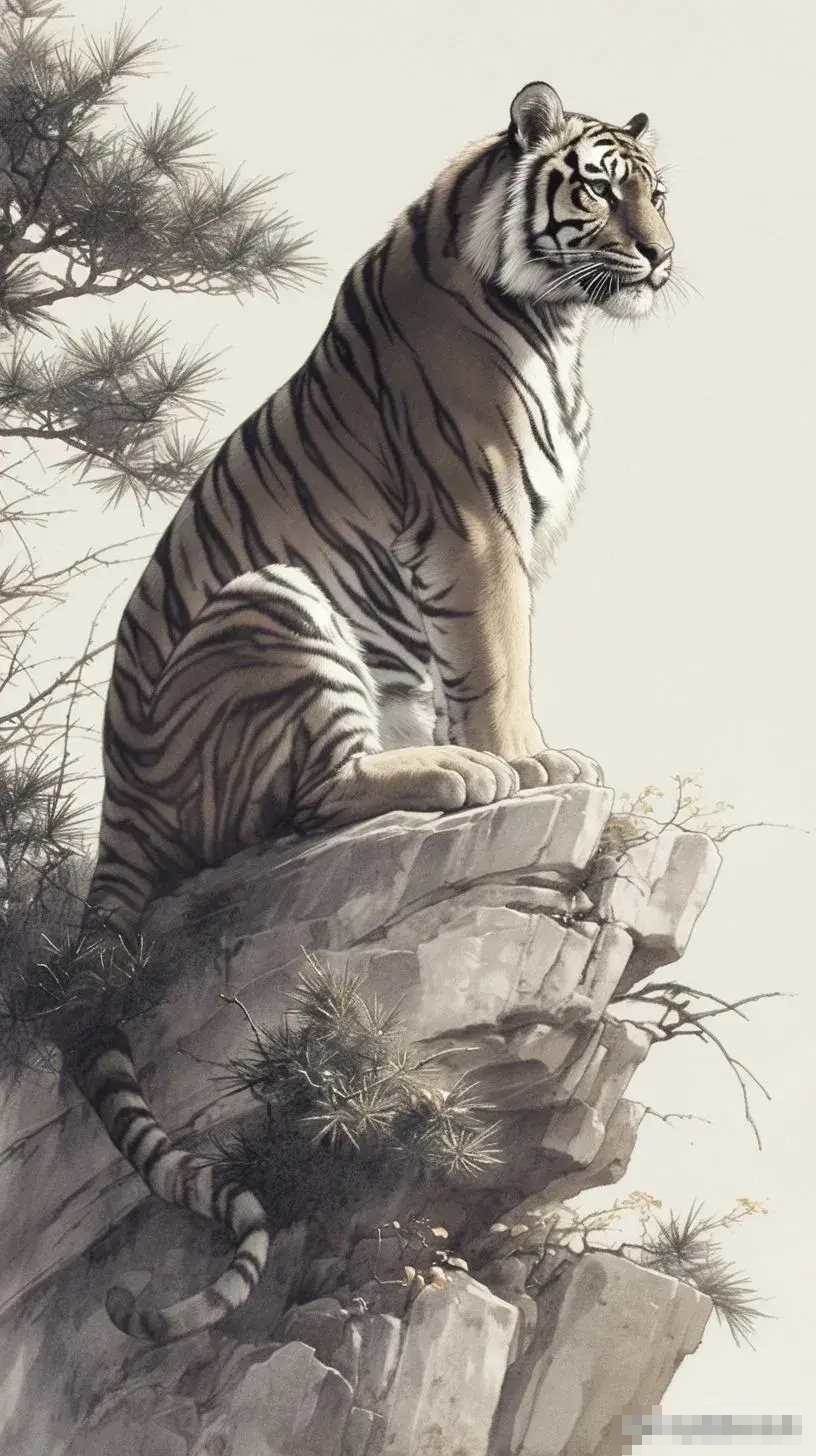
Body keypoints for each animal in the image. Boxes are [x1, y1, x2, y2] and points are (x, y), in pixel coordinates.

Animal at [61, 80, 674, 1344]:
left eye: (656, 190)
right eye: (599, 190)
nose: (659, 255)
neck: (557, 326)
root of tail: (117, 804)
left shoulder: (507, 545)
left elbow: (484, 668)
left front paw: (534, 753)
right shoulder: (479, 528)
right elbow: (498, 663)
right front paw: (534, 763)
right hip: (277, 600)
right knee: (306, 800)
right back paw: (457, 776)